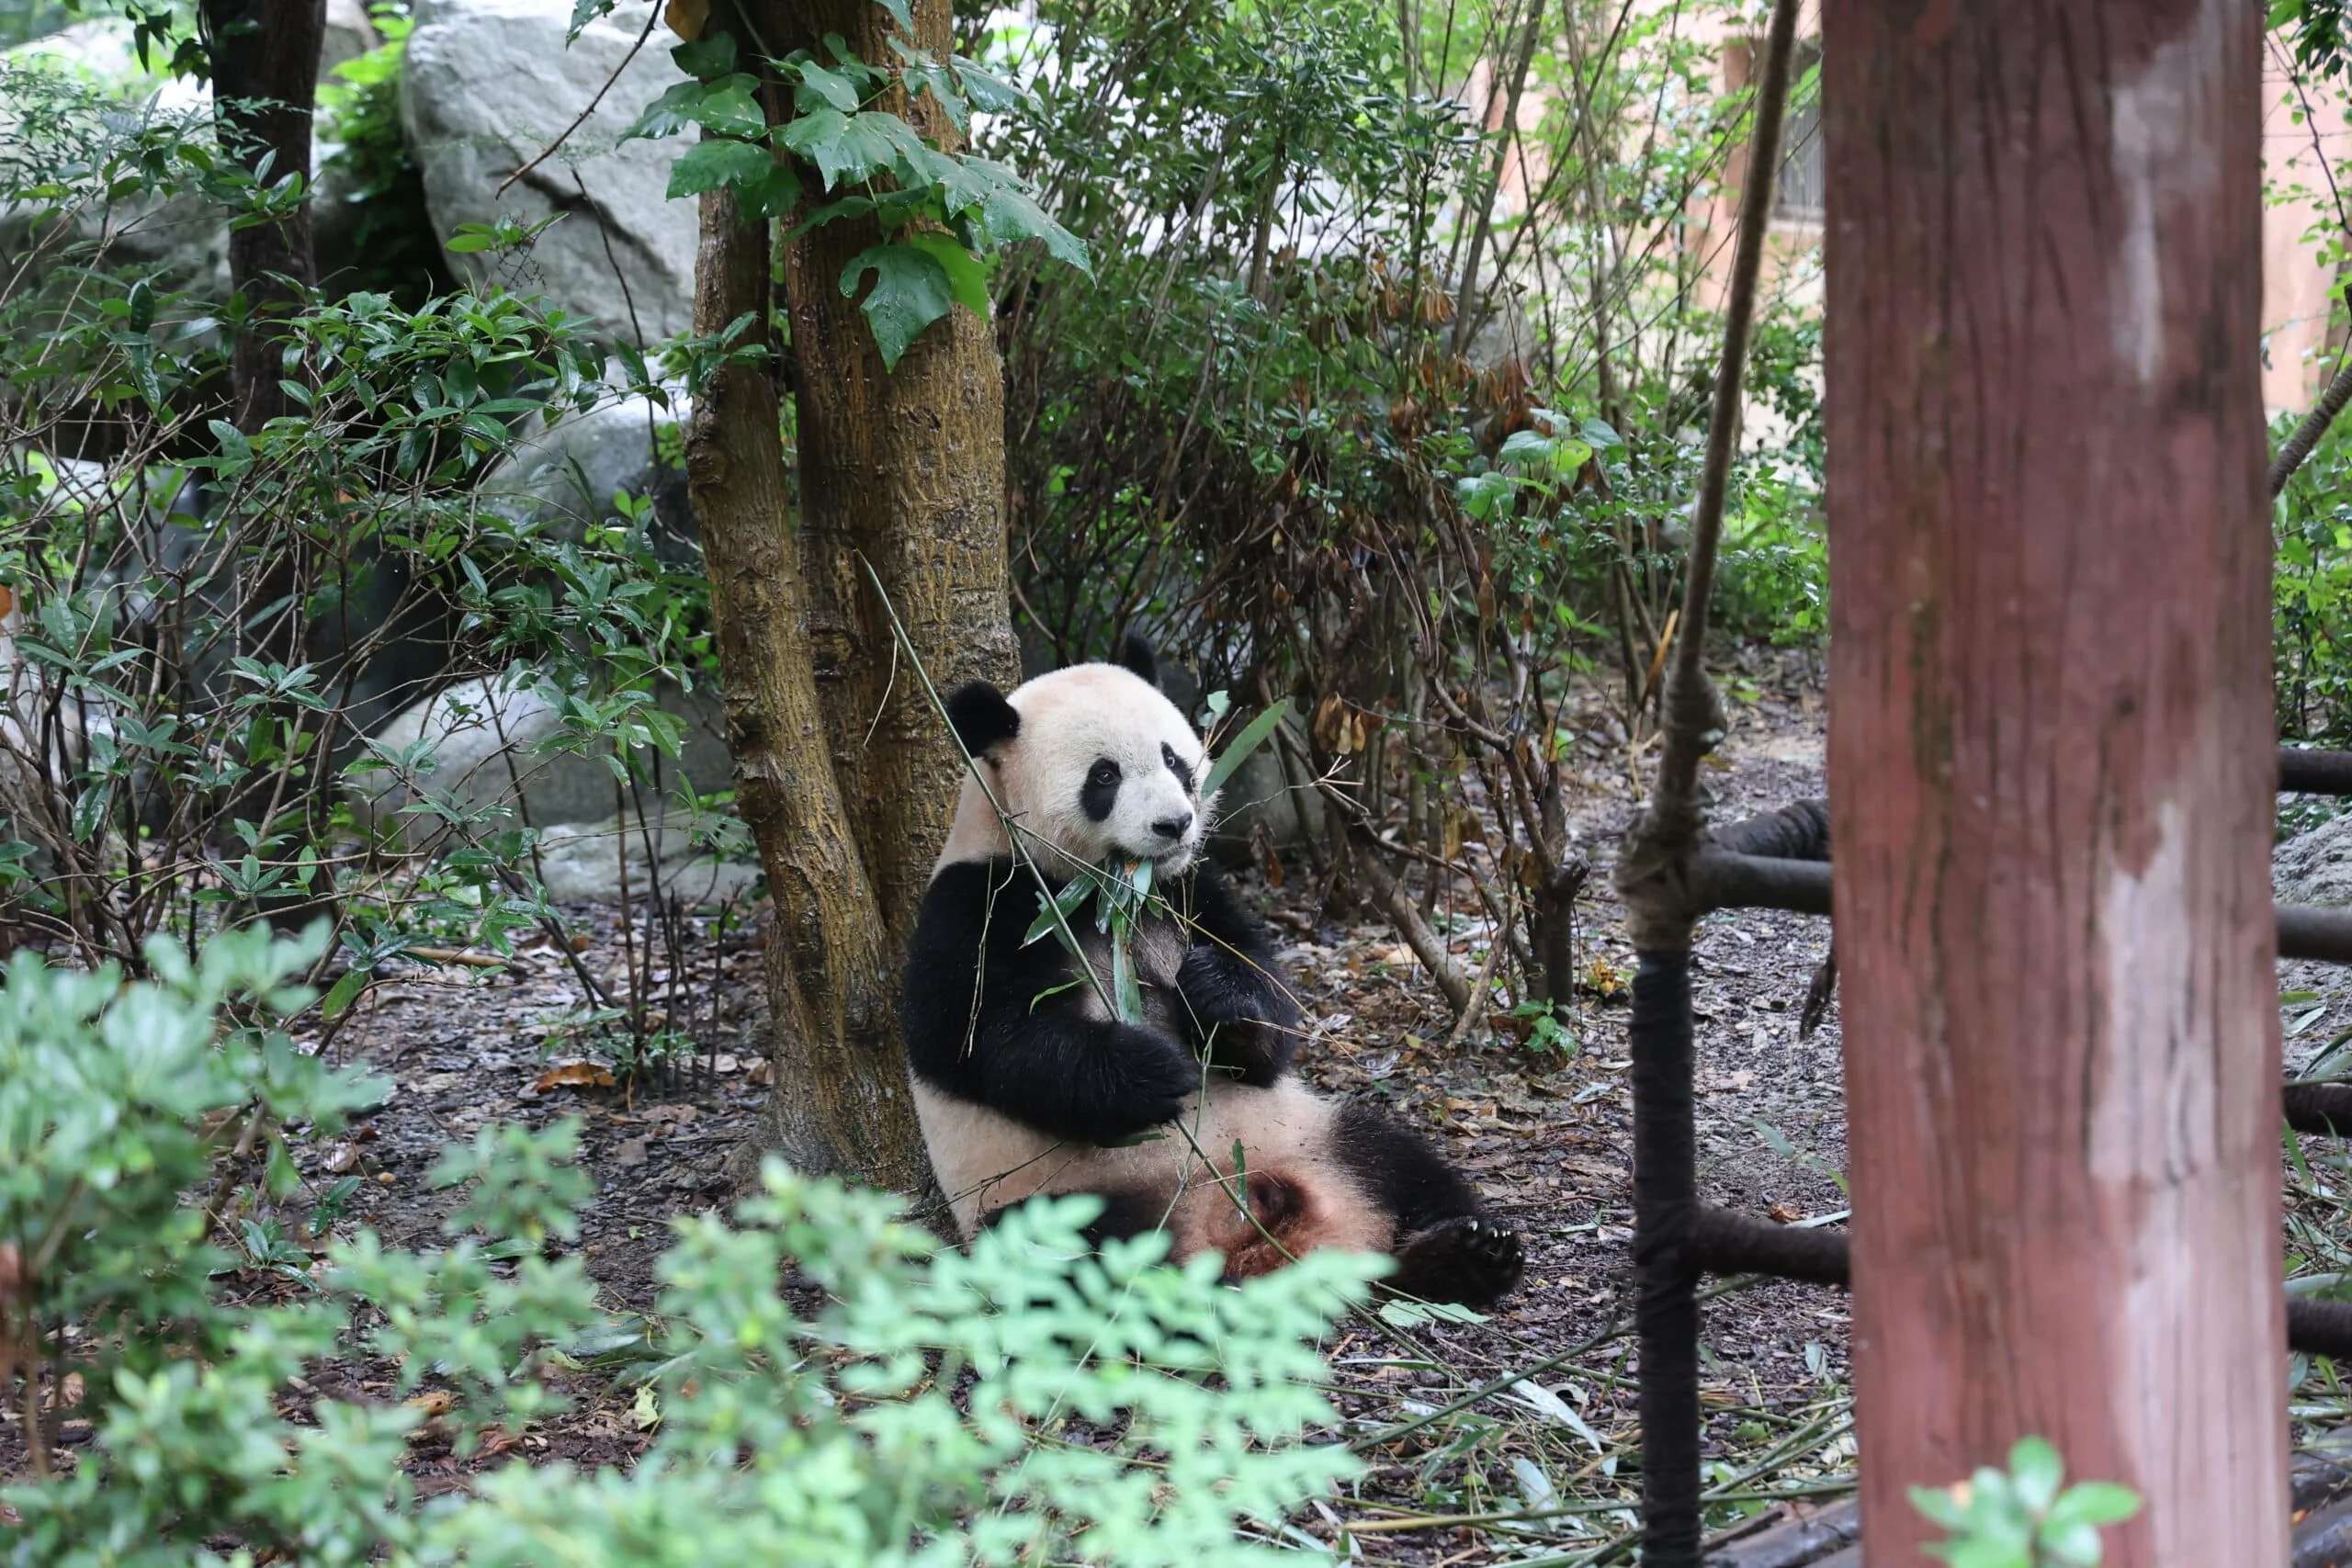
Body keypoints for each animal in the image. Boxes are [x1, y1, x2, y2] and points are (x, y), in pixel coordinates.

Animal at [900, 638, 1524, 1308]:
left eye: (1174, 759)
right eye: (1104, 776)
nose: (1174, 824)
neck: (1106, 890)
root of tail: (1249, 1231)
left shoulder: (1189, 889)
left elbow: (1265, 1005)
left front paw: (1219, 1001)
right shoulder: (980, 903)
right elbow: (986, 1043)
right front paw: (1154, 1069)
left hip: (1309, 1132)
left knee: (1395, 1159)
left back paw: (1464, 1255)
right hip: (1054, 1196)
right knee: (1072, 1254)